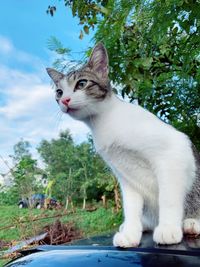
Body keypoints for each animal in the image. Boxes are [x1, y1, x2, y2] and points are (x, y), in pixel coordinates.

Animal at [46, 42, 200, 249]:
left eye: (82, 83)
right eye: (59, 92)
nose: (64, 100)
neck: (103, 122)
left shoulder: (172, 153)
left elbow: (168, 198)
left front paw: (168, 229)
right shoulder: (125, 175)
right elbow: (131, 207)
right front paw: (131, 233)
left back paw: (191, 223)